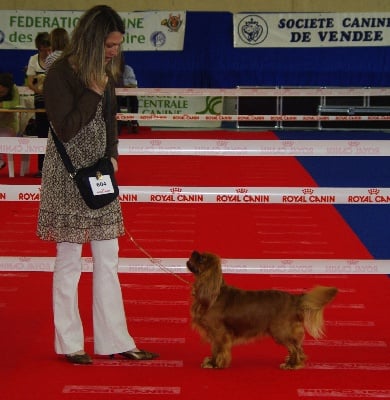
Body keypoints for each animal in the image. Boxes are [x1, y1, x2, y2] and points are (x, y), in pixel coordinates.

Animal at [187, 250, 338, 368]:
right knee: (297, 347)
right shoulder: (213, 333)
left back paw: (292, 364)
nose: (194, 251)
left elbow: (218, 348)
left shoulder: (219, 332)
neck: (213, 295)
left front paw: (214, 364)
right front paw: (212, 361)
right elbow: (214, 348)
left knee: (295, 347)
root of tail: (295, 299)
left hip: (281, 331)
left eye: (202, 258)